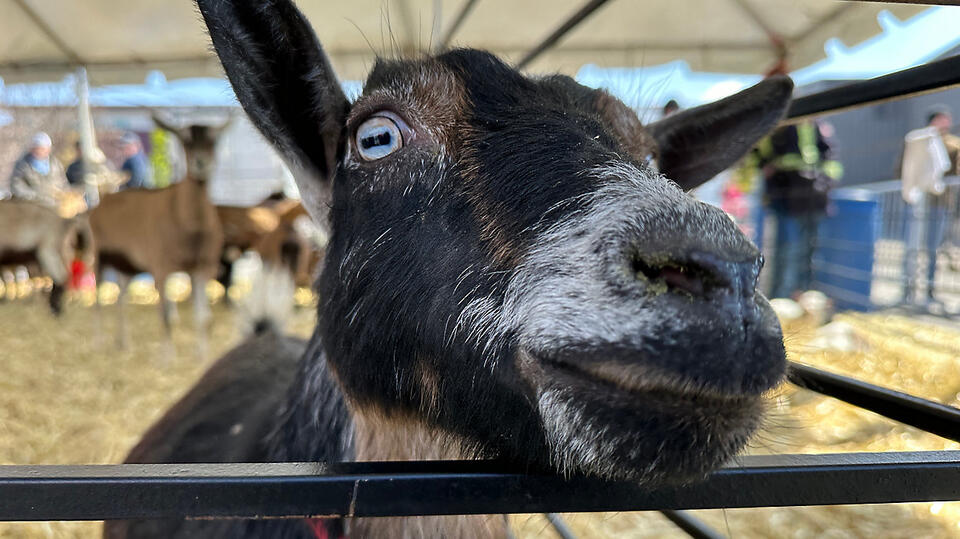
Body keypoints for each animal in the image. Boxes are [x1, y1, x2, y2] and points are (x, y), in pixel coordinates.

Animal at [90, 120, 225, 355]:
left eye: (213, 141)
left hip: (127, 265)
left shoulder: (201, 268)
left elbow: (203, 318)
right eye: (185, 142)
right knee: (98, 297)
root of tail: (101, 202)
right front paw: (168, 356)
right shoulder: (161, 268)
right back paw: (99, 342)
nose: (201, 163)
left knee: (121, 297)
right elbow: (167, 315)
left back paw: (124, 343)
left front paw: (201, 354)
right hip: (100, 255)